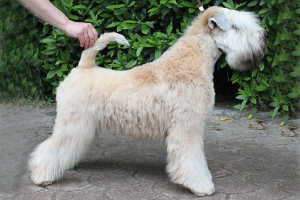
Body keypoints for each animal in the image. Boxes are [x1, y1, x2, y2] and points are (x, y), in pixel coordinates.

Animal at [29, 6, 266, 197]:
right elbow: (192, 160)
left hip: (85, 126)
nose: (263, 39)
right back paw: (41, 175)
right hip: (72, 124)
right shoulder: (187, 128)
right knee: (51, 148)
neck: (191, 61)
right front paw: (201, 186)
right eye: (236, 26)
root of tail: (83, 67)